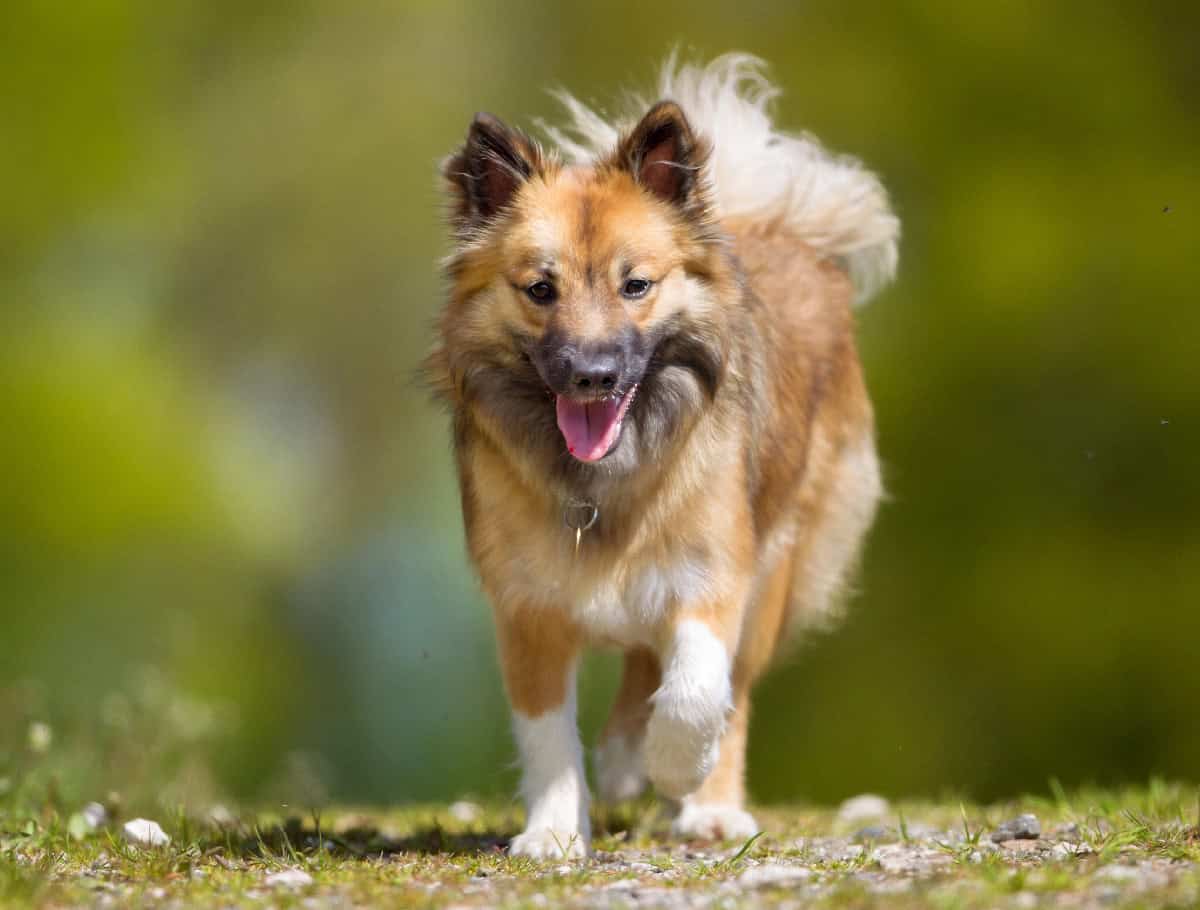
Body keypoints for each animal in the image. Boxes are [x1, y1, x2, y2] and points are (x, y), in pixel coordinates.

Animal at [427, 54, 899, 859]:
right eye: (540, 289)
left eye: (636, 285)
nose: (591, 375)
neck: (602, 484)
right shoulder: (527, 609)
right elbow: (548, 736)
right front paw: (555, 831)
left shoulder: (714, 575)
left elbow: (696, 692)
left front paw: (677, 767)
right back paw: (622, 761)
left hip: (779, 564)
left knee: (727, 691)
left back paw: (705, 805)